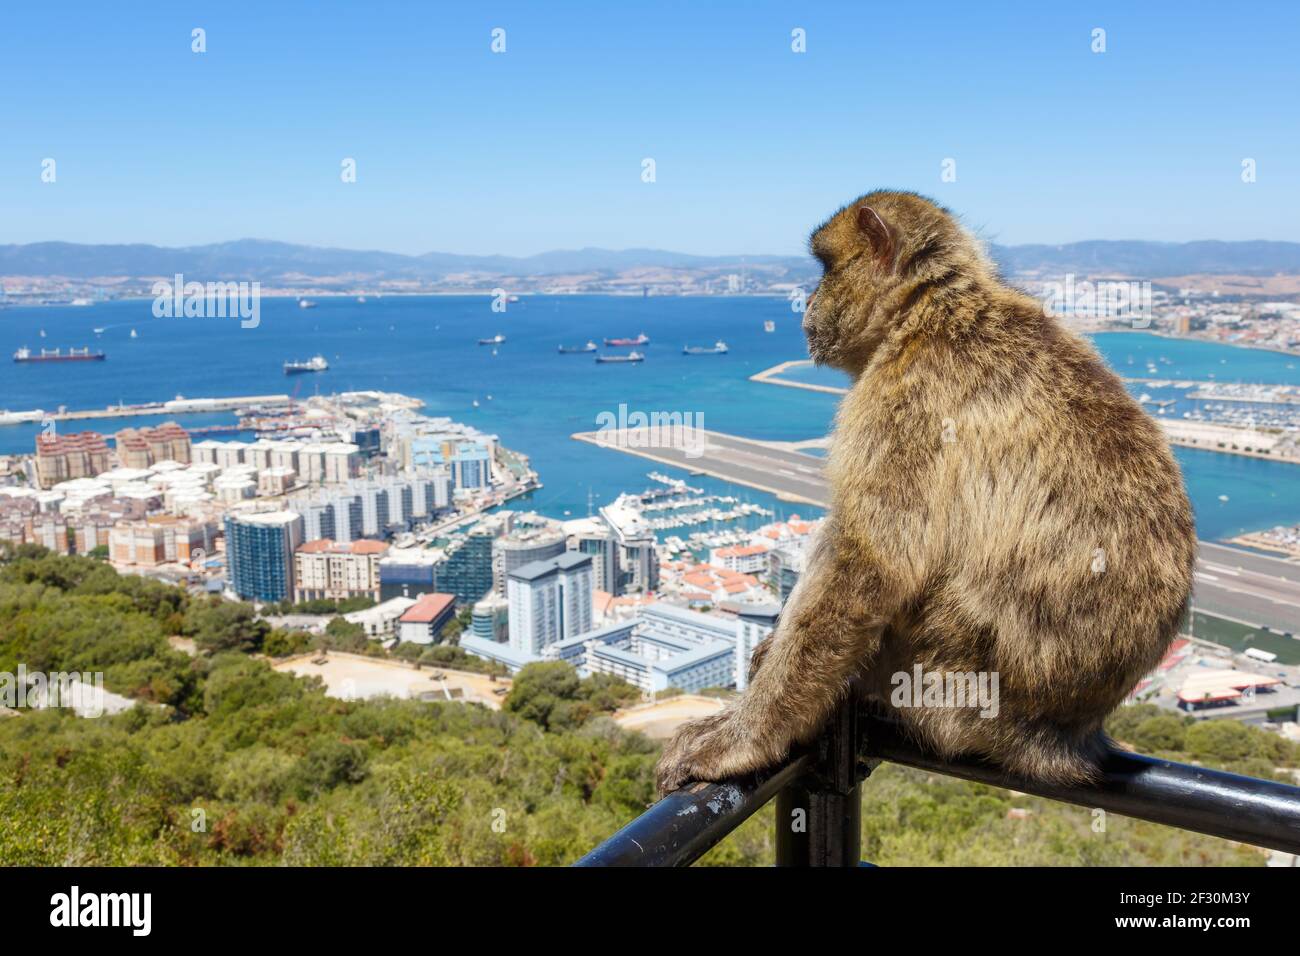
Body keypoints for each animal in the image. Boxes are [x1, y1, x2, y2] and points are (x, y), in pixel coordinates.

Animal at [660, 188, 1196, 790]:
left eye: (825, 267)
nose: (809, 301)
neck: (923, 310)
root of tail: (1063, 740)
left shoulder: (905, 400)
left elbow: (872, 563)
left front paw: (745, 739)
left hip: (951, 682)